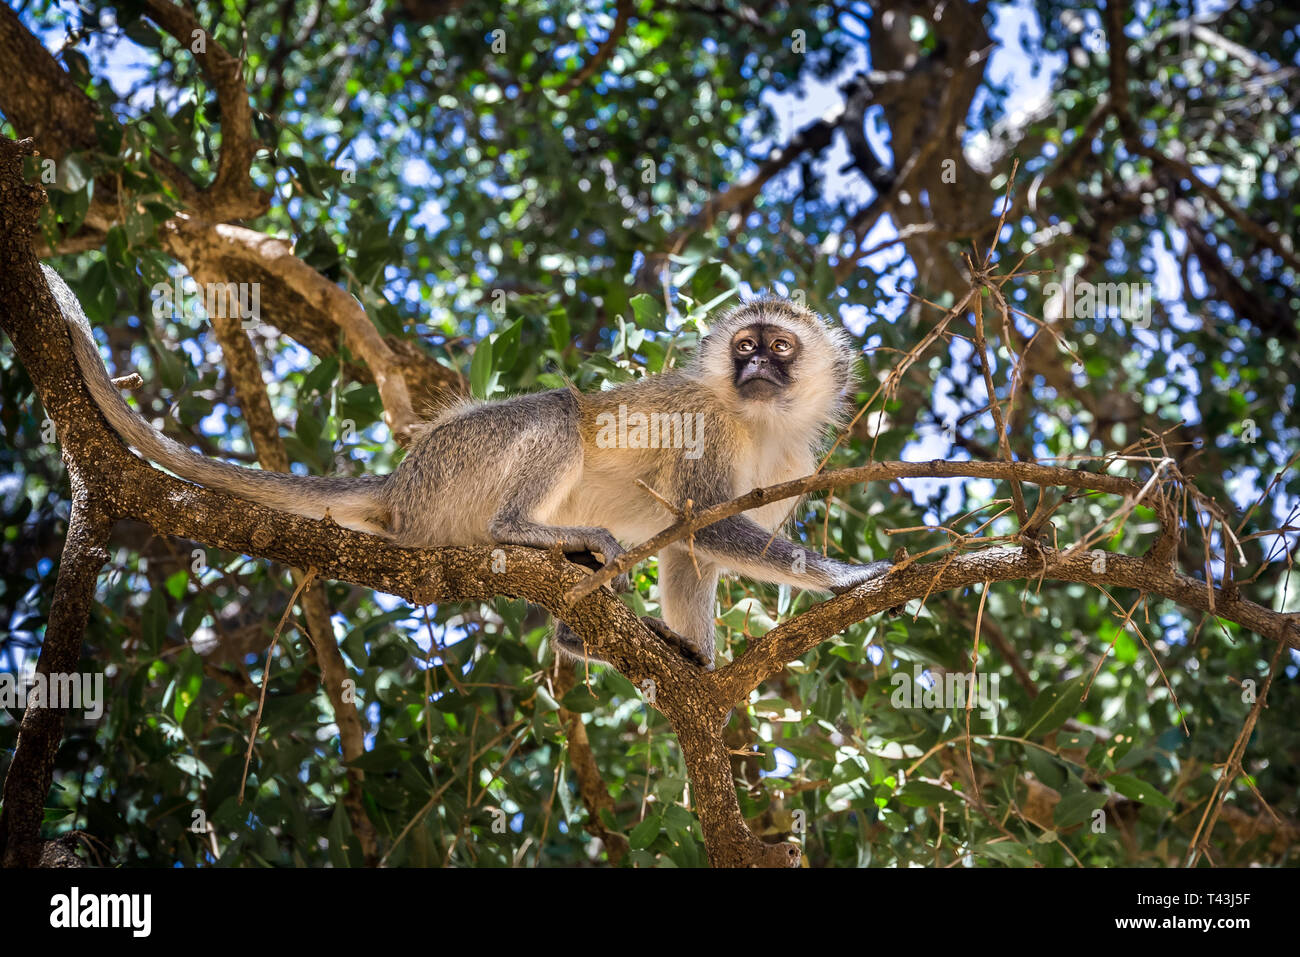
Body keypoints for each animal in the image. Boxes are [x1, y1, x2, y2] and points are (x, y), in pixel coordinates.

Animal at [43, 261, 894, 665]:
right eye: (746, 345)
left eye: (779, 347)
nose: (756, 367)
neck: (758, 420)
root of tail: (399, 484)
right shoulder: (708, 427)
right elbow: (701, 524)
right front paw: (848, 575)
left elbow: (692, 547)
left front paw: (693, 661)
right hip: (455, 466)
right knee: (556, 408)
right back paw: (531, 534)